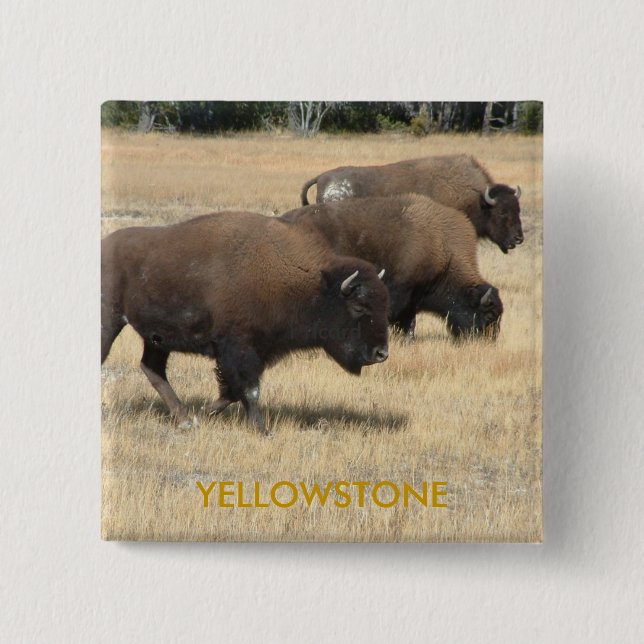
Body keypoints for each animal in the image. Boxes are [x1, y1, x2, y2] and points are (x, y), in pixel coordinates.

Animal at [101, 212, 390, 433]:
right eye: (358, 307)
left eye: (384, 306)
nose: (381, 353)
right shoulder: (239, 349)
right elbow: (250, 390)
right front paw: (261, 430)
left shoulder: (256, 352)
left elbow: (231, 392)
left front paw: (202, 414)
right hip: (110, 322)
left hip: (157, 340)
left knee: (152, 368)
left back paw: (184, 418)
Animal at [282, 195, 503, 340]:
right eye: (490, 314)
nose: (490, 340)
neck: (443, 248)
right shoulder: (402, 290)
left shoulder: (414, 297)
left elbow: (409, 320)